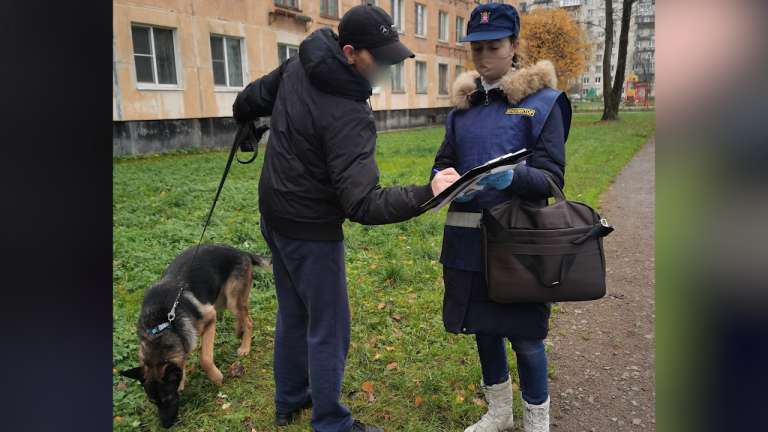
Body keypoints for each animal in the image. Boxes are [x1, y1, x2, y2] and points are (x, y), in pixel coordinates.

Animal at [120, 245, 272, 426]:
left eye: (168, 398)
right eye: (153, 401)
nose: (166, 426)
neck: (161, 326)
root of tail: (240, 251)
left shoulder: (210, 318)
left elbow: (205, 358)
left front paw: (216, 378)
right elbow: (183, 359)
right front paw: (183, 380)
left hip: (231, 300)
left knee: (248, 321)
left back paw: (245, 346)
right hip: (222, 301)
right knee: (240, 318)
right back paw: (238, 333)